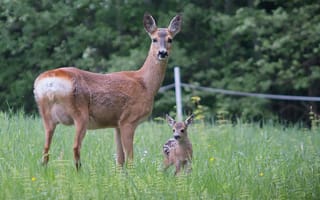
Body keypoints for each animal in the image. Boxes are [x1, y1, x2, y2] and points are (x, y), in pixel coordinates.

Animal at [34, 12, 182, 169]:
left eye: (170, 39)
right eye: (154, 39)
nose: (162, 53)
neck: (146, 84)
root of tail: (51, 81)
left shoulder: (116, 123)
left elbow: (120, 159)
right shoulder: (128, 120)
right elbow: (130, 157)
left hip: (46, 114)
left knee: (45, 149)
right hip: (80, 113)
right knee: (75, 147)